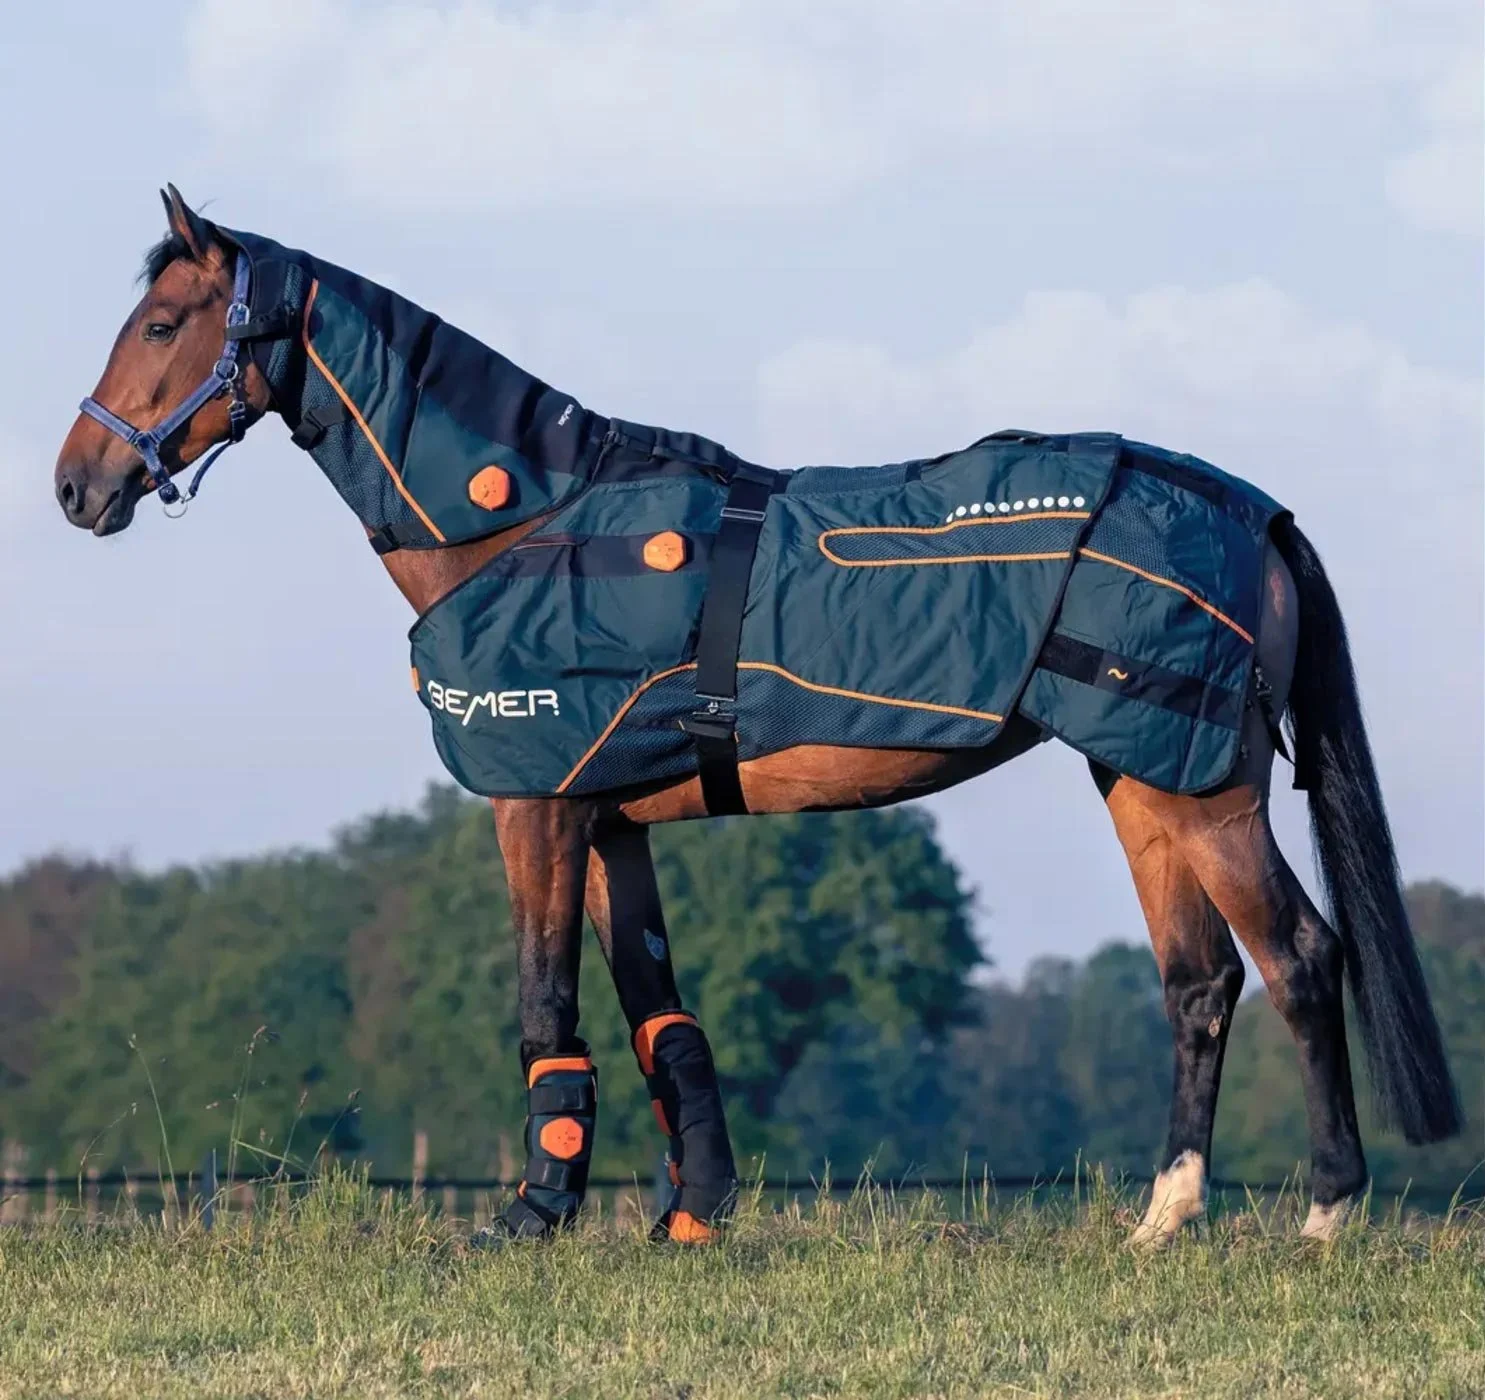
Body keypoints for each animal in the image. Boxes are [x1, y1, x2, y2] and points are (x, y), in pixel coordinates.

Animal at [53, 187, 1459, 1246]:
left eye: (167, 319)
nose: (77, 484)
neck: (533, 517)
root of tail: (1248, 506)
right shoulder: (611, 820)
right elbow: (659, 1015)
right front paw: (693, 1212)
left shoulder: (535, 807)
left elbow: (546, 1004)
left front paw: (533, 1215)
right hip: (1142, 781)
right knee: (1199, 980)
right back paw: (1162, 1222)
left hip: (1203, 790)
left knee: (1300, 959)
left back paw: (1326, 1215)